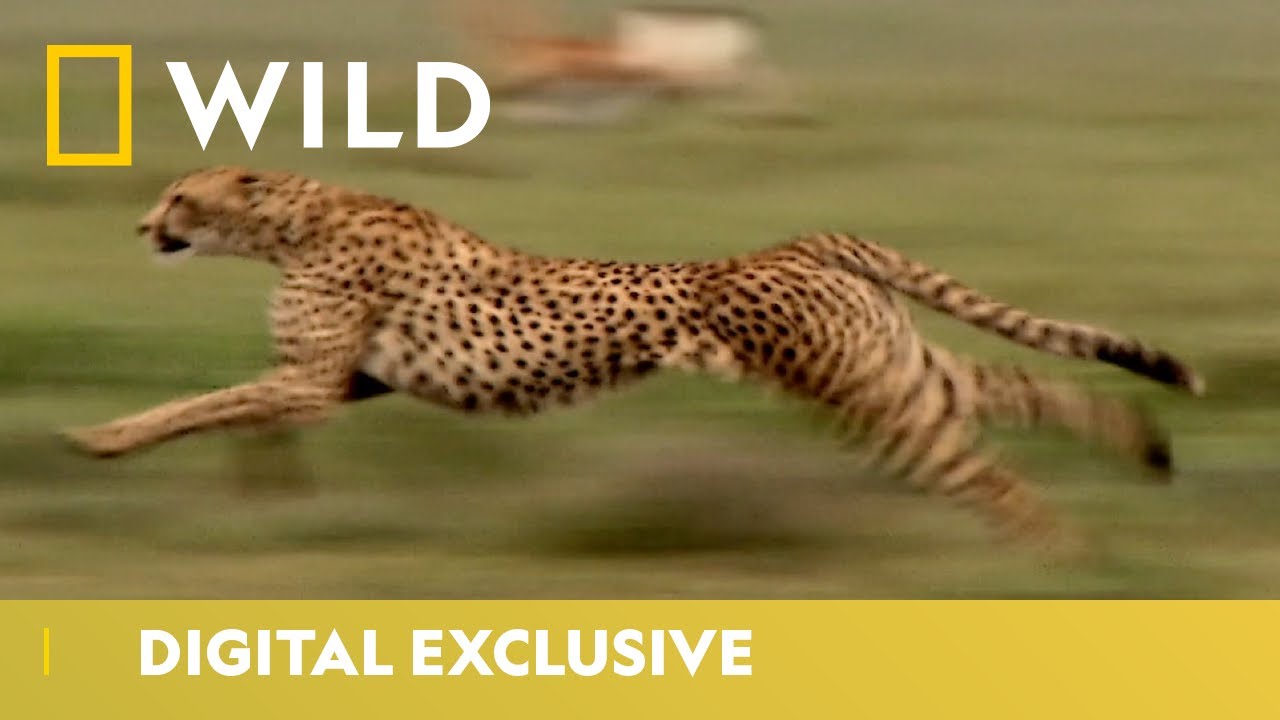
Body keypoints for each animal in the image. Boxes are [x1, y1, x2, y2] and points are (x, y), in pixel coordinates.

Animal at [62, 166, 1204, 555]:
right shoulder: (342, 382)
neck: (294, 218)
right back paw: (1142, 453)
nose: (140, 225)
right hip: (891, 369)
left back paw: (1055, 564)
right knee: (1027, 389)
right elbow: (236, 412)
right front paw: (266, 493)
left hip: (866, 399)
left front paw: (99, 438)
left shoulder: (313, 379)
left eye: (178, 195)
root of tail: (804, 239)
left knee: (978, 468)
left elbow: (205, 403)